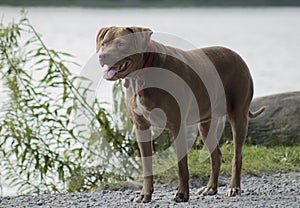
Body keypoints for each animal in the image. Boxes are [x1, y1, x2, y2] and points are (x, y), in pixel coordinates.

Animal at [96, 26, 264, 203]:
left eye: (121, 44)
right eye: (104, 43)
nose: (102, 56)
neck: (142, 75)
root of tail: (237, 56)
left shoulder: (177, 126)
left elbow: (181, 165)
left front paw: (182, 194)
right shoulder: (141, 127)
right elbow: (147, 166)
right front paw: (145, 194)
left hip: (238, 116)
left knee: (237, 156)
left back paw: (234, 187)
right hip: (205, 123)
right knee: (216, 155)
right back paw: (211, 187)